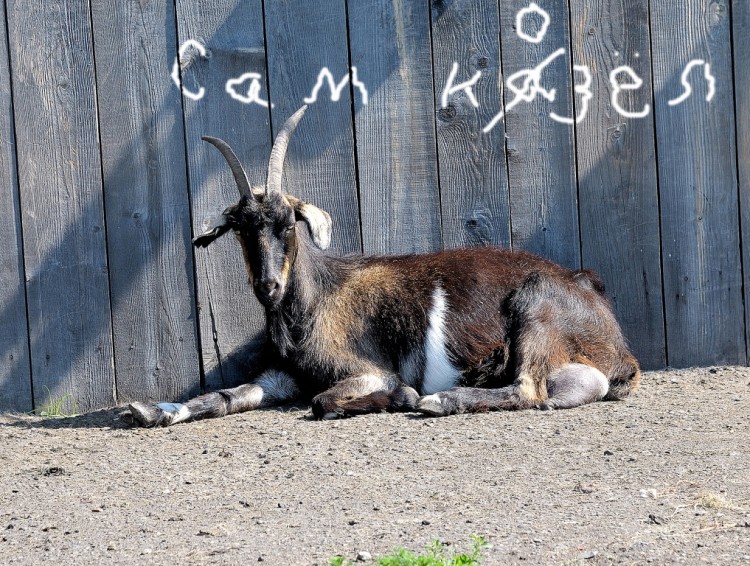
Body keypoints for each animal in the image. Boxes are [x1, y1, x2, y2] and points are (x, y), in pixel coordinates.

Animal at [128, 104, 640, 428]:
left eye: (288, 223)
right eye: (239, 229)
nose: (268, 286)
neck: (314, 302)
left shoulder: (369, 370)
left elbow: (324, 400)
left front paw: (403, 397)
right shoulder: (281, 376)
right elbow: (226, 396)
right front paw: (151, 411)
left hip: (535, 309)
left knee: (529, 391)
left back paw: (440, 399)